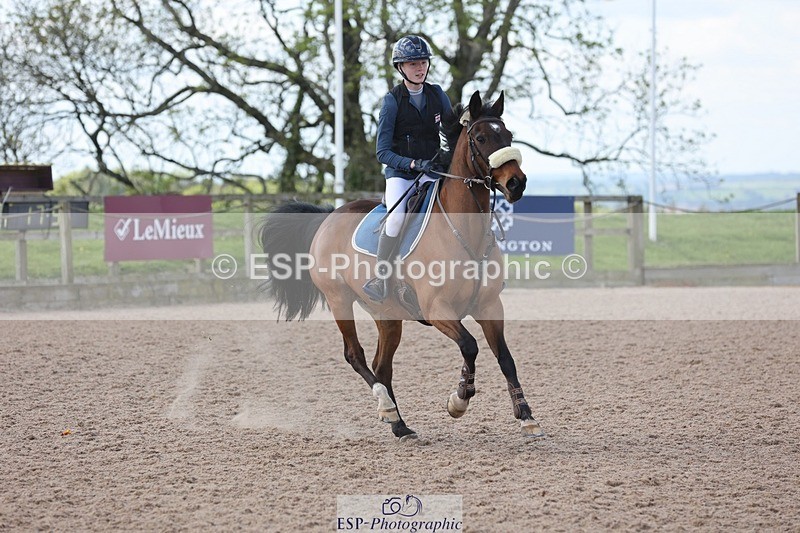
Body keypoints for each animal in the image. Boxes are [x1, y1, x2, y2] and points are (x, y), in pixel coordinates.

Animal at [259, 90, 544, 440]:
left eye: (508, 136)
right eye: (480, 137)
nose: (516, 183)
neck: (465, 233)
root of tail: (328, 216)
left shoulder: (489, 306)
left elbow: (504, 357)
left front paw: (525, 414)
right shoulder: (437, 309)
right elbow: (470, 346)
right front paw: (459, 400)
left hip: (387, 314)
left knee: (382, 365)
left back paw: (399, 424)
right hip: (339, 299)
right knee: (355, 355)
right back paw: (386, 407)